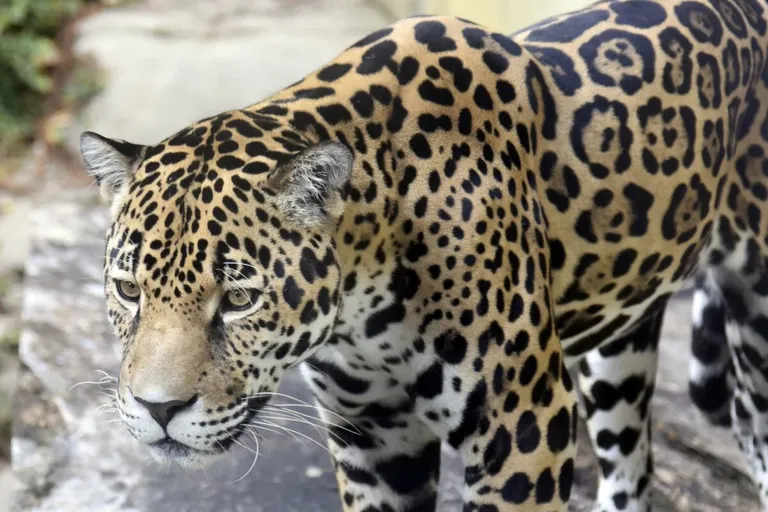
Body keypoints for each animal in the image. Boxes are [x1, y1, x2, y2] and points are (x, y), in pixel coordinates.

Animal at [78, 0, 768, 510]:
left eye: (240, 299)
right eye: (130, 290)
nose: (158, 409)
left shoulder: (523, 428)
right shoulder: (373, 437)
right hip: (618, 349)